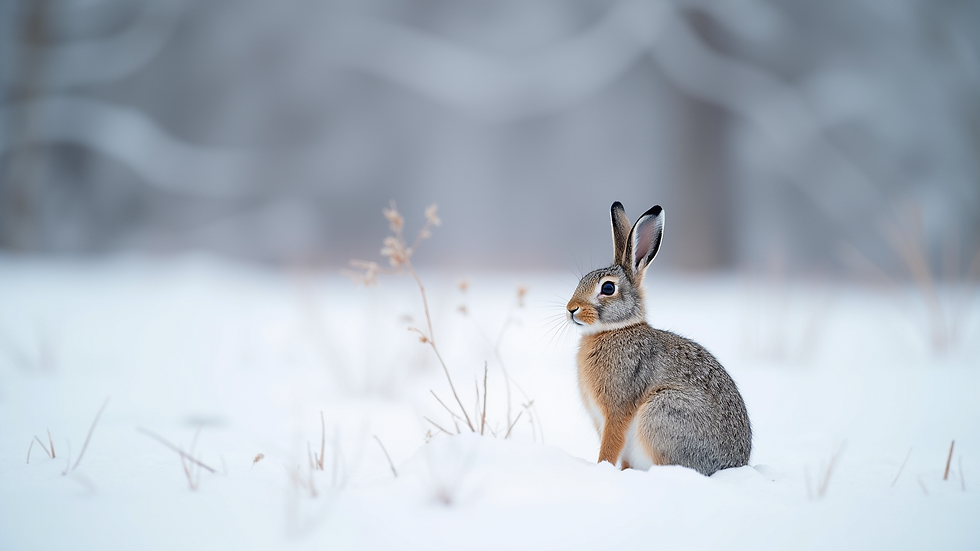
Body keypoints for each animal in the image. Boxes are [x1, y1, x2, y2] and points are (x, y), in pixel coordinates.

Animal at [566, 202, 751, 476]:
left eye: (608, 288)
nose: (571, 309)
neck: (615, 330)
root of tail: (731, 466)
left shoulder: (618, 408)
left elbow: (611, 443)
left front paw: (602, 469)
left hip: (662, 412)